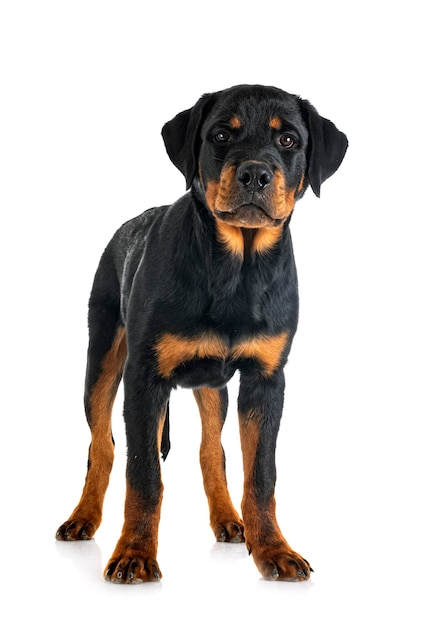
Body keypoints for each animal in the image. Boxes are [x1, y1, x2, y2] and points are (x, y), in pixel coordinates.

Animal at [55, 83, 348, 580]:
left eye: (289, 140)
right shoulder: (144, 377)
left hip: (213, 387)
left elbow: (261, 473)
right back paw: (83, 518)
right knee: (104, 444)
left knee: (212, 450)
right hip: (104, 356)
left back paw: (229, 520)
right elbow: (143, 474)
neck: (237, 268)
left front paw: (274, 551)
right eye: (221, 135)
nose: (255, 173)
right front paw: (134, 553)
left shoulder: (266, 379)